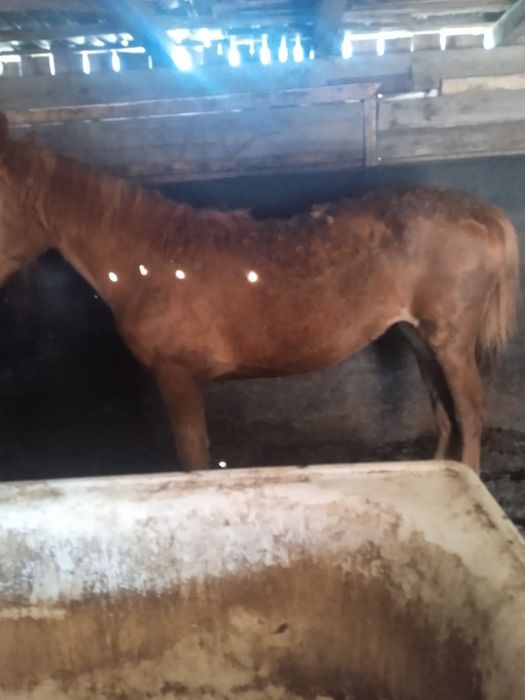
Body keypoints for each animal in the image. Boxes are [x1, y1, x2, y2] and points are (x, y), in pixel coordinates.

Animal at [0, 112, 519, 473]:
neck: (149, 258)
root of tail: (481, 211)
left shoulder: (176, 376)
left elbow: (193, 457)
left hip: (450, 342)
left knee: (470, 414)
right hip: (417, 336)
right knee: (444, 412)